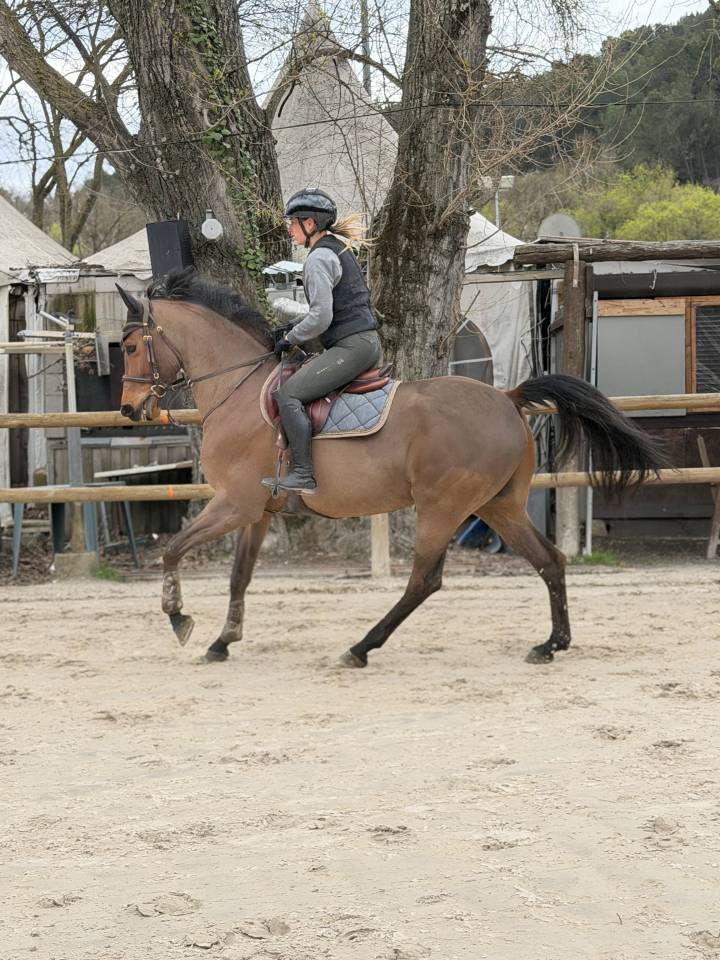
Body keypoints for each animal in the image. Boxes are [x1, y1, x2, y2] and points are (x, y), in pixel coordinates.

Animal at [118, 269, 664, 667]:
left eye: (128, 347)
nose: (128, 409)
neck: (239, 391)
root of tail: (508, 398)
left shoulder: (235, 503)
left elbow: (172, 551)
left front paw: (179, 618)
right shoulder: (257, 512)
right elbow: (238, 577)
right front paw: (222, 641)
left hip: (442, 508)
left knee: (424, 581)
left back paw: (360, 648)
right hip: (499, 506)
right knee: (550, 560)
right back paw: (551, 644)